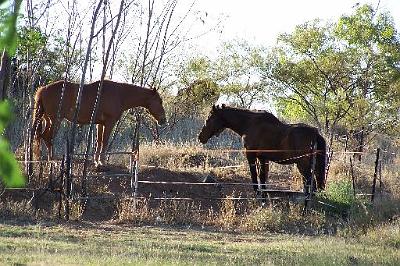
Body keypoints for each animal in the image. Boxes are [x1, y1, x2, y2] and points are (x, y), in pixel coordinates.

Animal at [30, 79, 166, 166]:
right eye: (159, 101)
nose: (163, 120)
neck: (120, 94)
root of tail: (43, 89)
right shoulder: (109, 123)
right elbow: (104, 141)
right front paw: (102, 161)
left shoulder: (100, 124)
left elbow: (98, 142)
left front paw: (96, 161)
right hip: (56, 120)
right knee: (48, 137)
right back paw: (51, 159)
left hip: (48, 120)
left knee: (42, 136)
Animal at [198, 105, 326, 194]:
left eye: (208, 119)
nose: (200, 137)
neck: (249, 124)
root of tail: (315, 133)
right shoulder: (263, 158)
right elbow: (263, 177)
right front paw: (264, 193)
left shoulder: (251, 155)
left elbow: (254, 175)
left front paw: (257, 192)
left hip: (302, 164)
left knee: (310, 182)